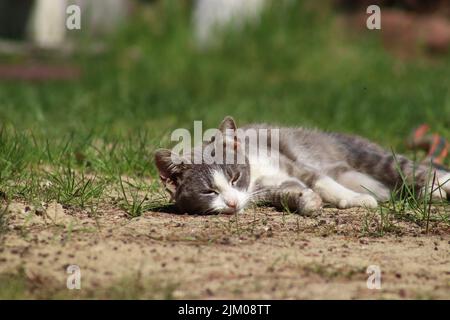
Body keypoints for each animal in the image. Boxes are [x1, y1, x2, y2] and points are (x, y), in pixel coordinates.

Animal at [156, 115, 450, 215]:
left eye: (235, 177)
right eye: (209, 191)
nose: (231, 203)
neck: (257, 174)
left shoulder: (293, 163)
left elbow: (322, 180)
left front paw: (356, 199)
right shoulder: (271, 187)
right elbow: (290, 192)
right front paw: (306, 201)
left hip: (370, 157)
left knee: (414, 169)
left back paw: (437, 186)